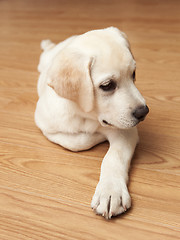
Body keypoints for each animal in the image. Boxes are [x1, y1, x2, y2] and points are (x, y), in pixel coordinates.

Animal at [34, 26, 148, 219]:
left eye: (133, 74)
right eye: (107, 85)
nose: (143, 112)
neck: (88, 115)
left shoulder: (127, 131)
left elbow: (114, 157)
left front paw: (111, 192)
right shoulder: (44, 123)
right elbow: (78, 141)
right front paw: (95, 135)